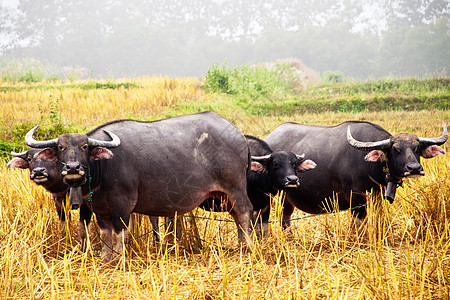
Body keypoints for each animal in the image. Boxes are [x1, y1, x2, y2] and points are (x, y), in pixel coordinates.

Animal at [23, 111, 253, 262]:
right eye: (61, 147)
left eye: (85, 147)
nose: (72, 167)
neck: (104, 167)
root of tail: (239, 135)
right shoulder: (101, 209)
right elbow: (105, 233)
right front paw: (106, 257)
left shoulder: (123, 204)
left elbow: (119, 233)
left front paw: (118, 258)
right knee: (237, 216)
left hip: (236, 189)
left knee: (244, 214)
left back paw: (246, 247)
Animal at [264, 120, 446, 226]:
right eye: (396, 149)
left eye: (416, 148)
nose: (414, 168)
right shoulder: (356, 197)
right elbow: (359, 223)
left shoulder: (376, 197)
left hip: (287, 198)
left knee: (286, 217)